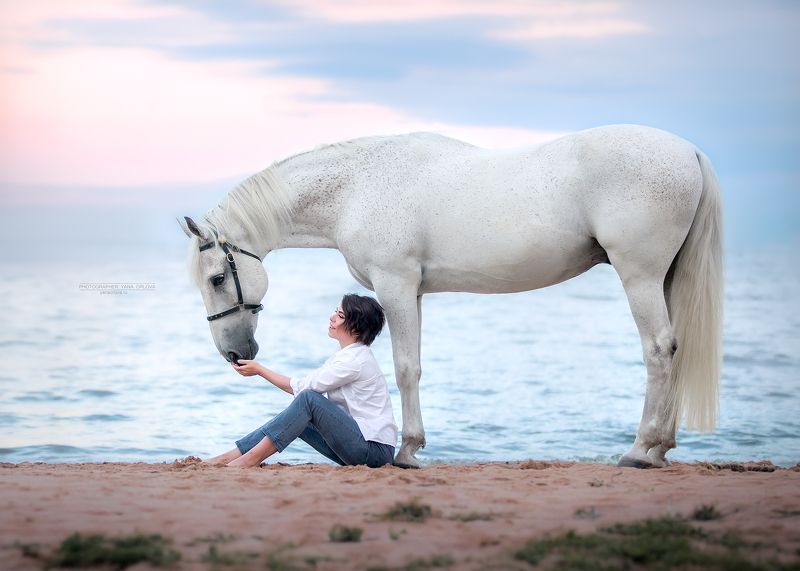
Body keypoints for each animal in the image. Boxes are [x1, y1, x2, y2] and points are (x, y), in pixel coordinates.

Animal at [180, 124, 723, 469]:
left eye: (216, 279)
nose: (236, 354)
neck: (357, 187)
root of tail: (689, 152)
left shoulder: (396, 283)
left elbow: (405, 368)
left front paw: (406, 452)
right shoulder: (412, 291)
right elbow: (413, 364)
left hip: (640, 276)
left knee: (658, 350)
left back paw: (639, 451)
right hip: (664, 278)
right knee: (673, 351)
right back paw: (660, 449)